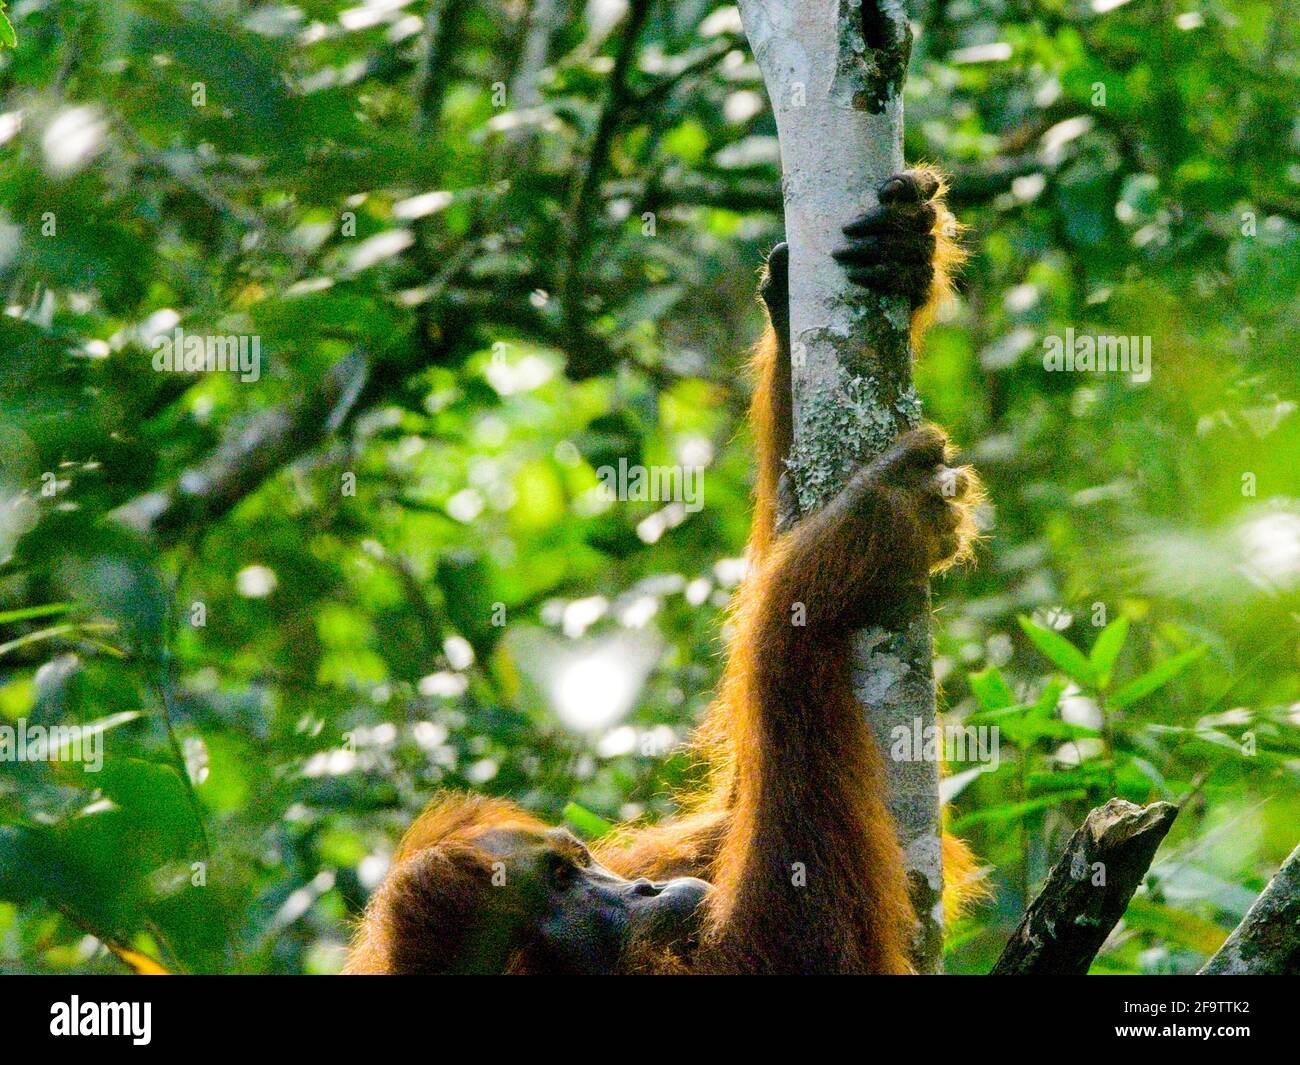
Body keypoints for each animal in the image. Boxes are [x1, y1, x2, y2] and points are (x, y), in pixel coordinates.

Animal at [344, 168, 982, 974]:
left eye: (583, 858)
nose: (642, 889)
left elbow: (728, 817)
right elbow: (805, 936)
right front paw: (858, 533)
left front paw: (898, 252)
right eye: (562, 883)